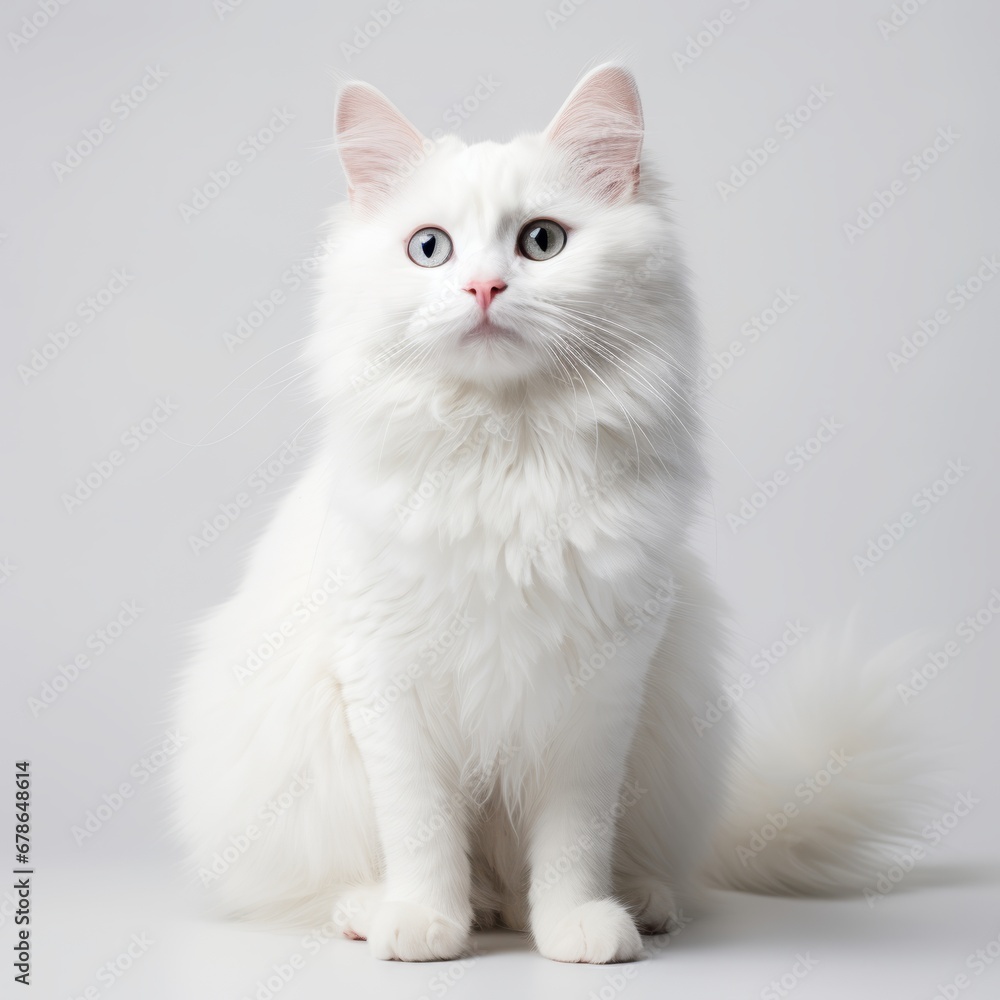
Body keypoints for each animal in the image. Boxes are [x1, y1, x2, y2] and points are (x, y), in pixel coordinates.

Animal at [170, 62, 928, 960]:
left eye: (541, 242)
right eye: (430, 248)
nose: (483, 286)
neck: (509, 453)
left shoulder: (599, 695)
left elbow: (572, 843)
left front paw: (578, 928)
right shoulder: (388, 684)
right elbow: (422, 829)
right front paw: (425, 924)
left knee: (602, 868)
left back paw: (635, 905)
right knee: (337, 881)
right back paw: (384, 912)